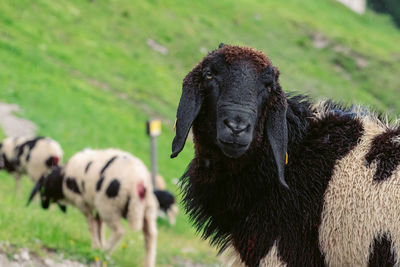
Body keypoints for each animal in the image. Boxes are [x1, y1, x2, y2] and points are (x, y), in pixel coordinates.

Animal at [27, 149, 156, 267]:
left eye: (43, 187)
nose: (43, 206)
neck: (62, 178)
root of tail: (140, 183)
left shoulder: (82, 202)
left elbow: (91, 225)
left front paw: (96, 247)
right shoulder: (96, 208)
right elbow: (99, 225)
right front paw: (99, 243)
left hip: (109, 204)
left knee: (119, 231)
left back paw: (104, 252)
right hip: (147, 209)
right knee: (150, 236)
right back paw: (148, 263)